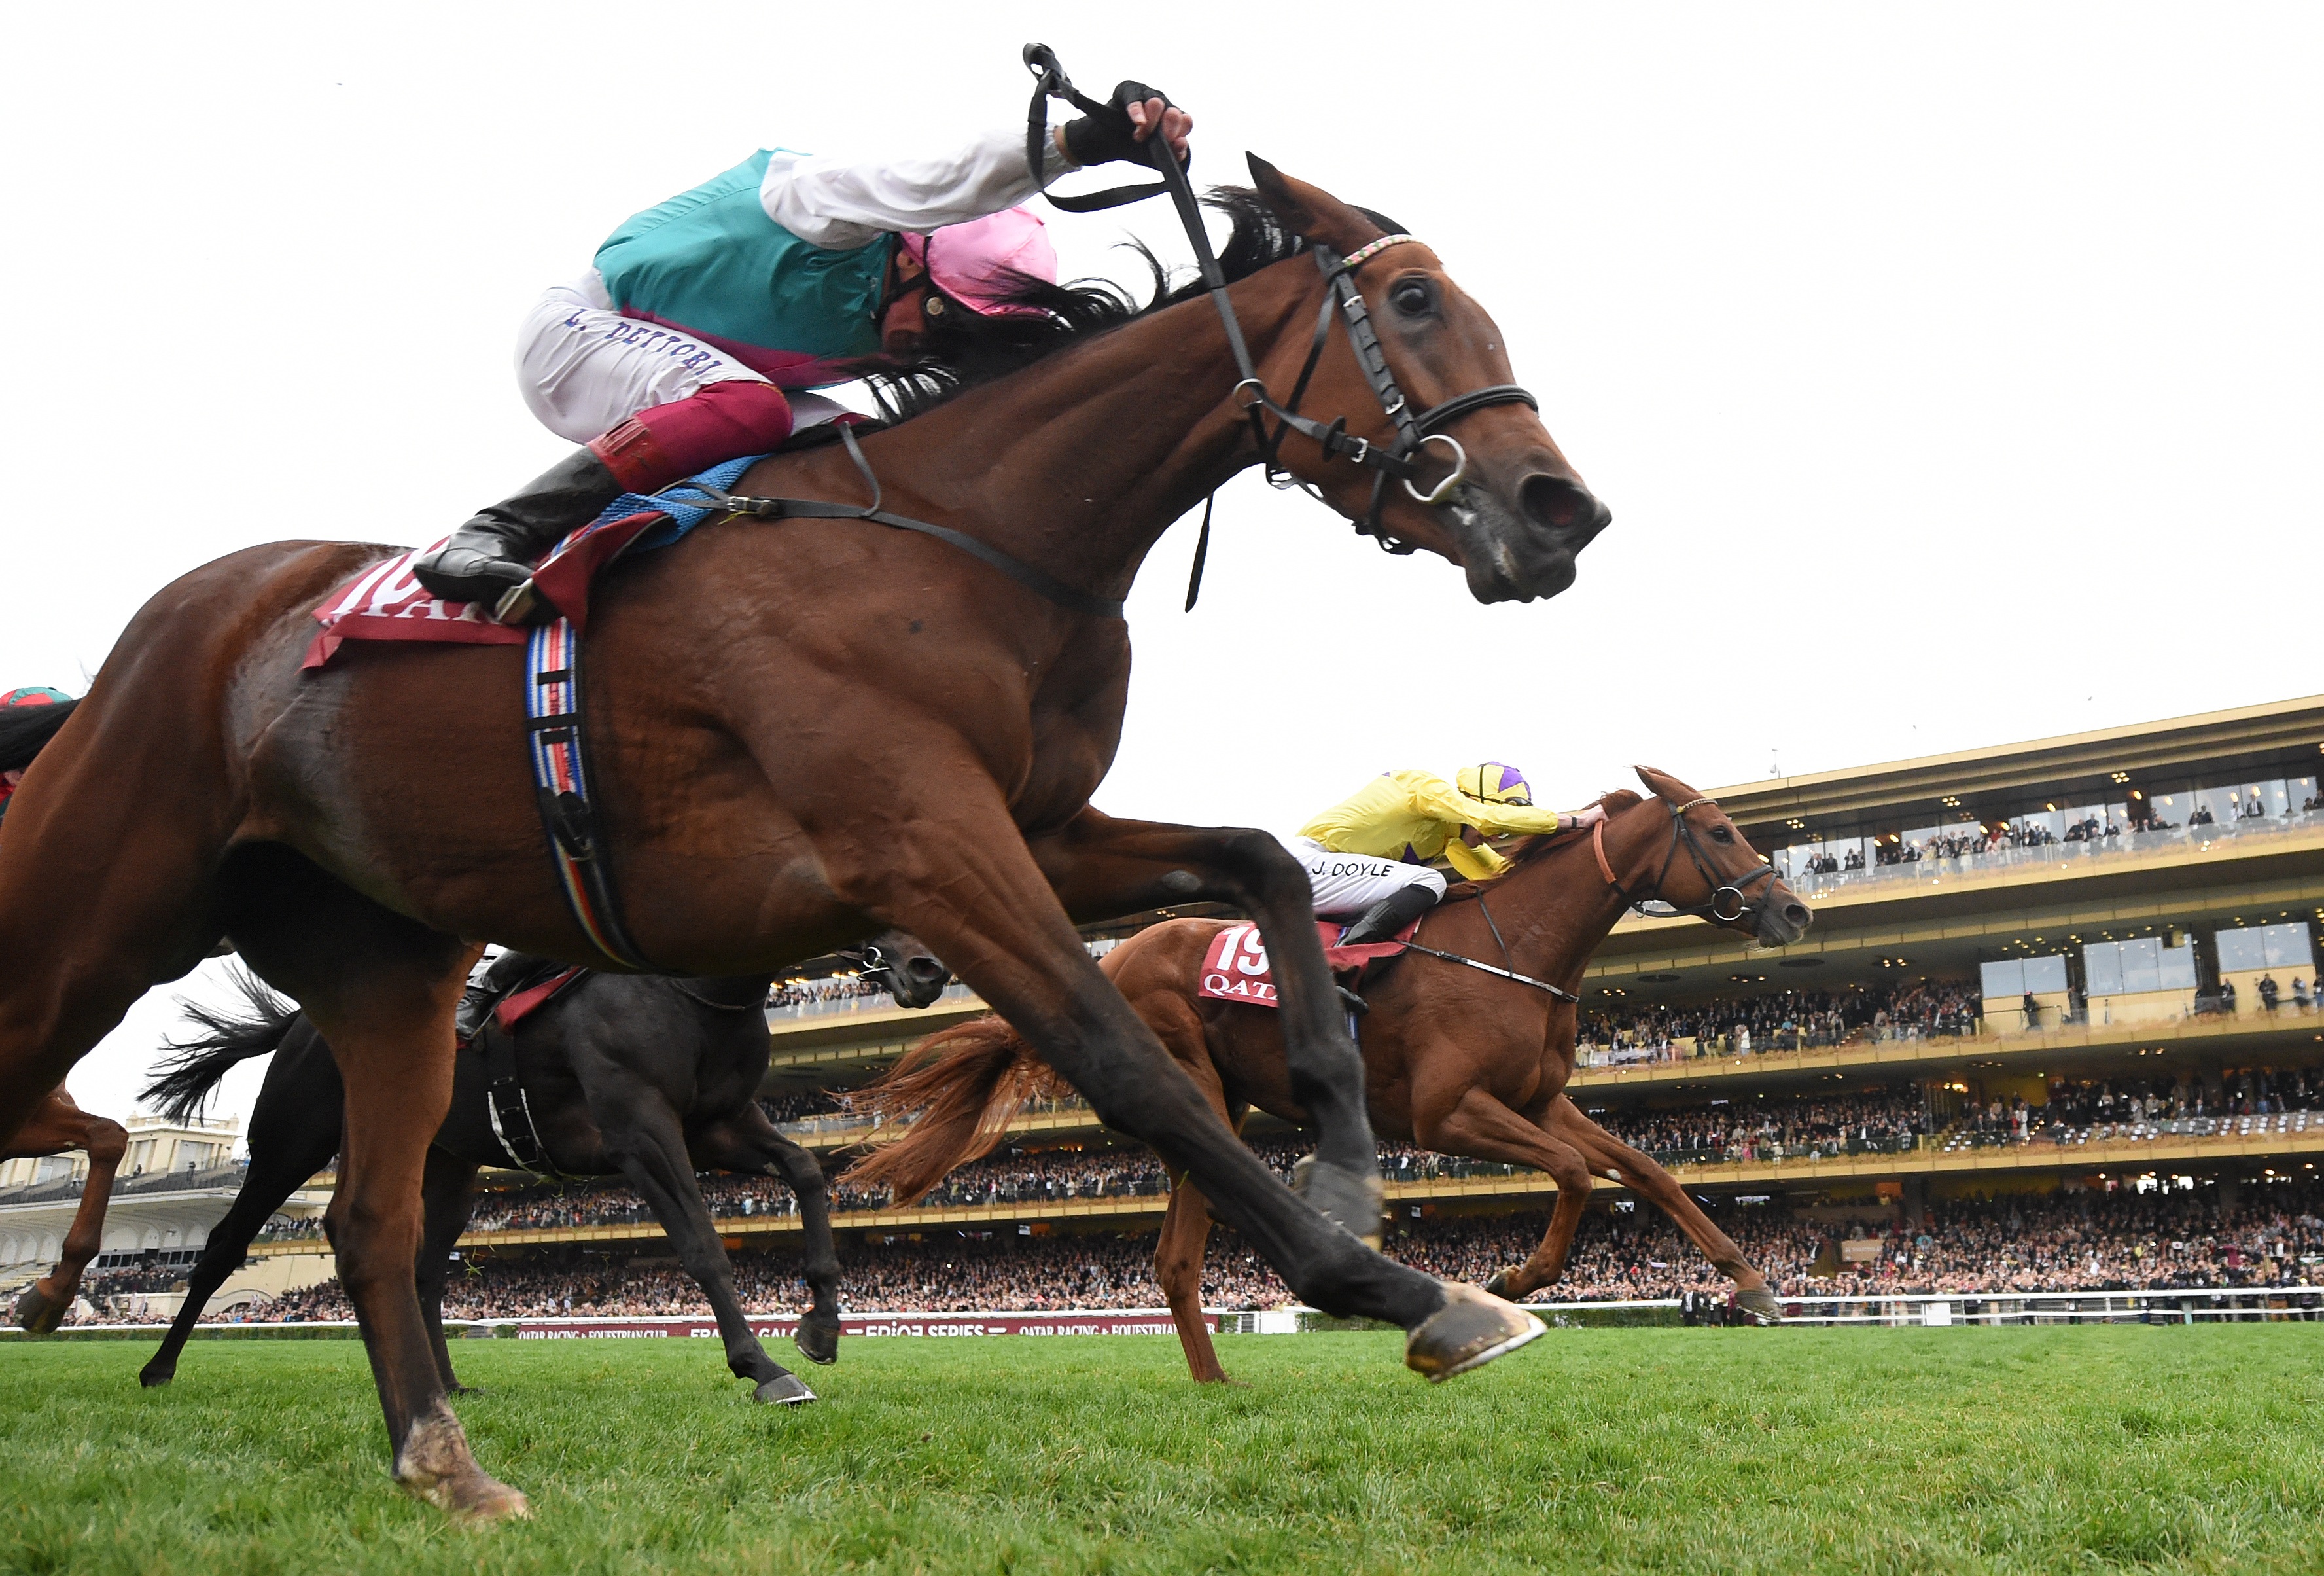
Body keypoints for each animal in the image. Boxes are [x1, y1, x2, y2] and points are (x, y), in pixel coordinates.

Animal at [0, 164, 1598, 1515]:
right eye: (1413, 301)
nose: (1560, 509)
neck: (964, 535)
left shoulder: (1038, 827)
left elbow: (1262, 859)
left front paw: (1347, 1157)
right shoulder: (925, 845)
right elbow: (1119, 1059)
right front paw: (1392, 1284)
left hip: (386, 972)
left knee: (374, 1221)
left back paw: (441, 1456)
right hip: (101, 910)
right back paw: (73, 1305)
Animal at [855, 776, 1812, 1385]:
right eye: (1720, 831)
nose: (1794, 909)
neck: (1511, 951)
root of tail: (1109, 954)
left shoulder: (1538, 1099)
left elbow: (1646, 1170)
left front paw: (1750, 1281)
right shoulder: (1443, 1114)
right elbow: (1577, 1174)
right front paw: (1513, 1281)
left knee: (1173, 1261)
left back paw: (1217, 1382)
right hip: (1199, 1091)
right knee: (1186, 1244)